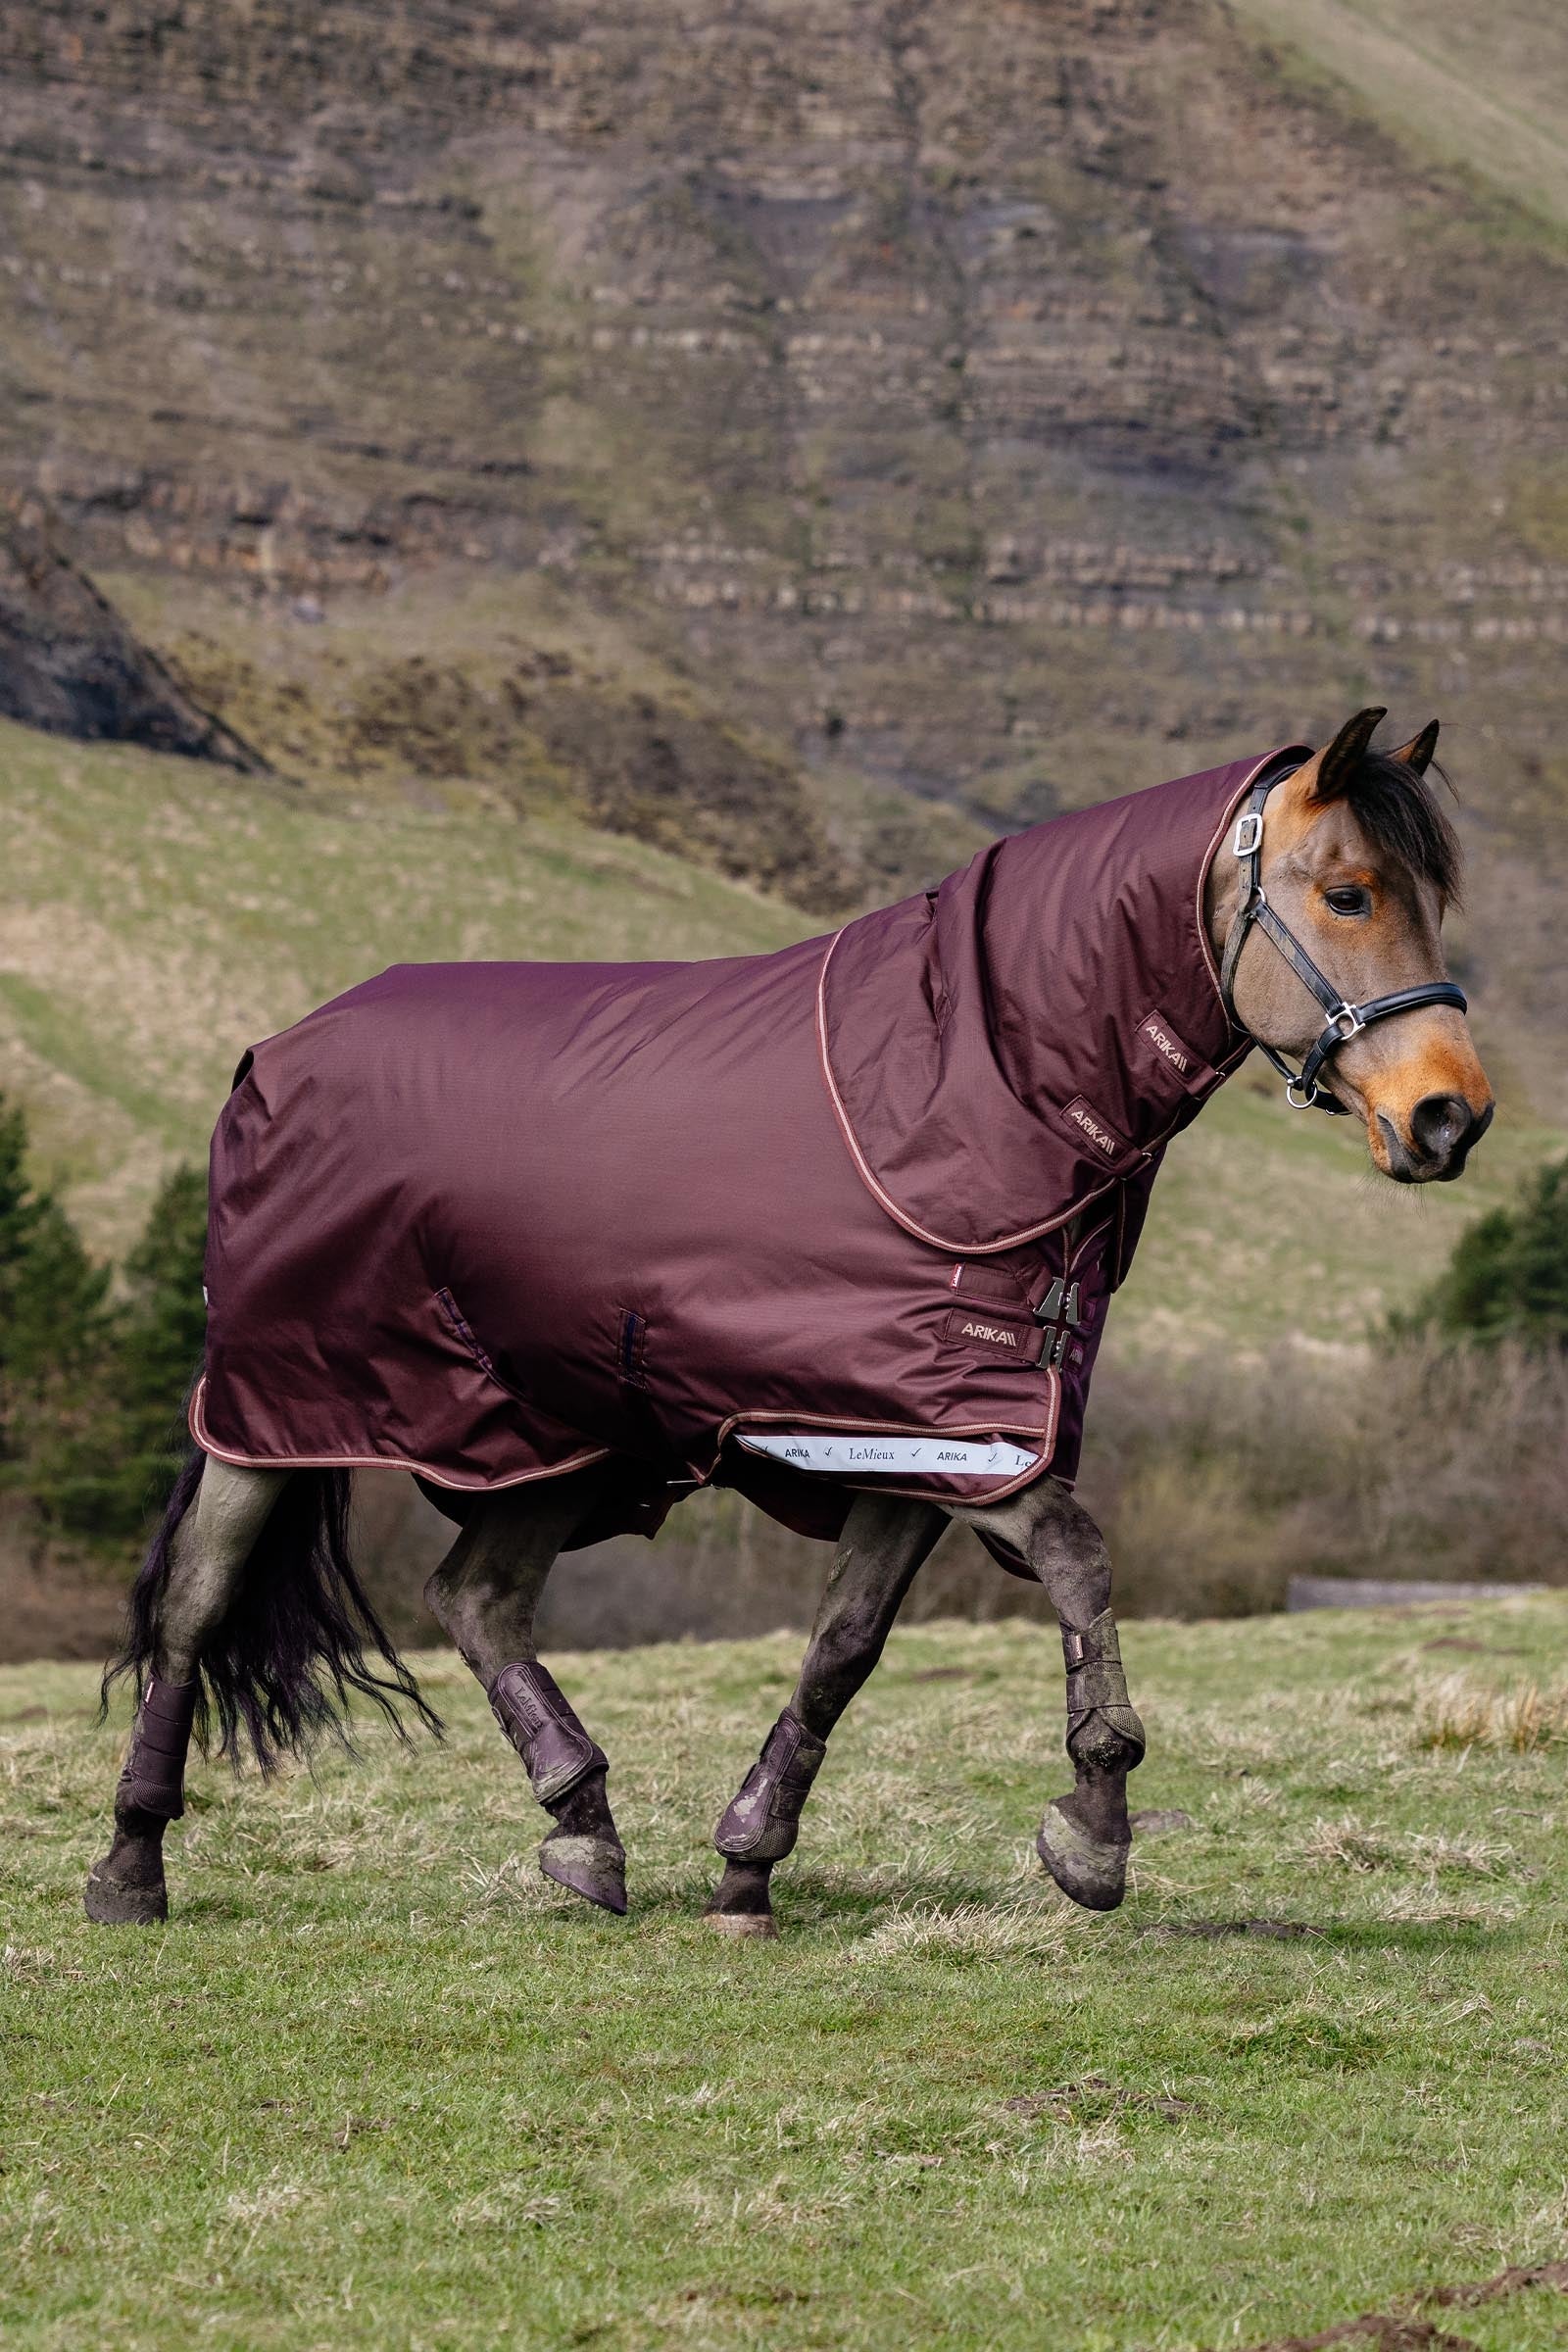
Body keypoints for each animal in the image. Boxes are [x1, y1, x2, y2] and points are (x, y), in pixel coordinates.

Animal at [87, 707, 1493, 1935]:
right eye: (1350, 894)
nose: (1450, 1117)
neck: (965, 1093)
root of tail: (276, 1052)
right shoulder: (959, 1439)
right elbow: (1082, 1565)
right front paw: (1094, 1835)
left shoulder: (911, 1442)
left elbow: (842, 1651)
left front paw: (746, 1868)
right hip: (276, 1409)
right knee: (197, 1602)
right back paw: (131, 1866)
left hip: (552, 1434)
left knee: (475, 1598)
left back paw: (584, 1831)